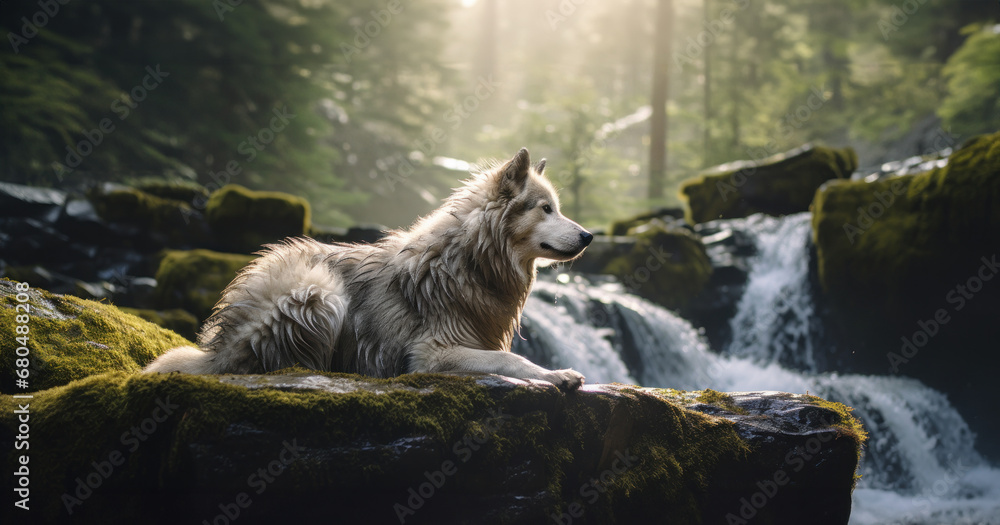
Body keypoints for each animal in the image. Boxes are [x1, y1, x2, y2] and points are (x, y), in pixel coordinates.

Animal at [144, 148, 592, 389]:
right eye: (546, 209)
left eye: (557, 208)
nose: (588, 235)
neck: (468, 260)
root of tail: (214, 353)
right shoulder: (431, 354)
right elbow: (512, 360)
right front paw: (557, 374)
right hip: (321, 290)